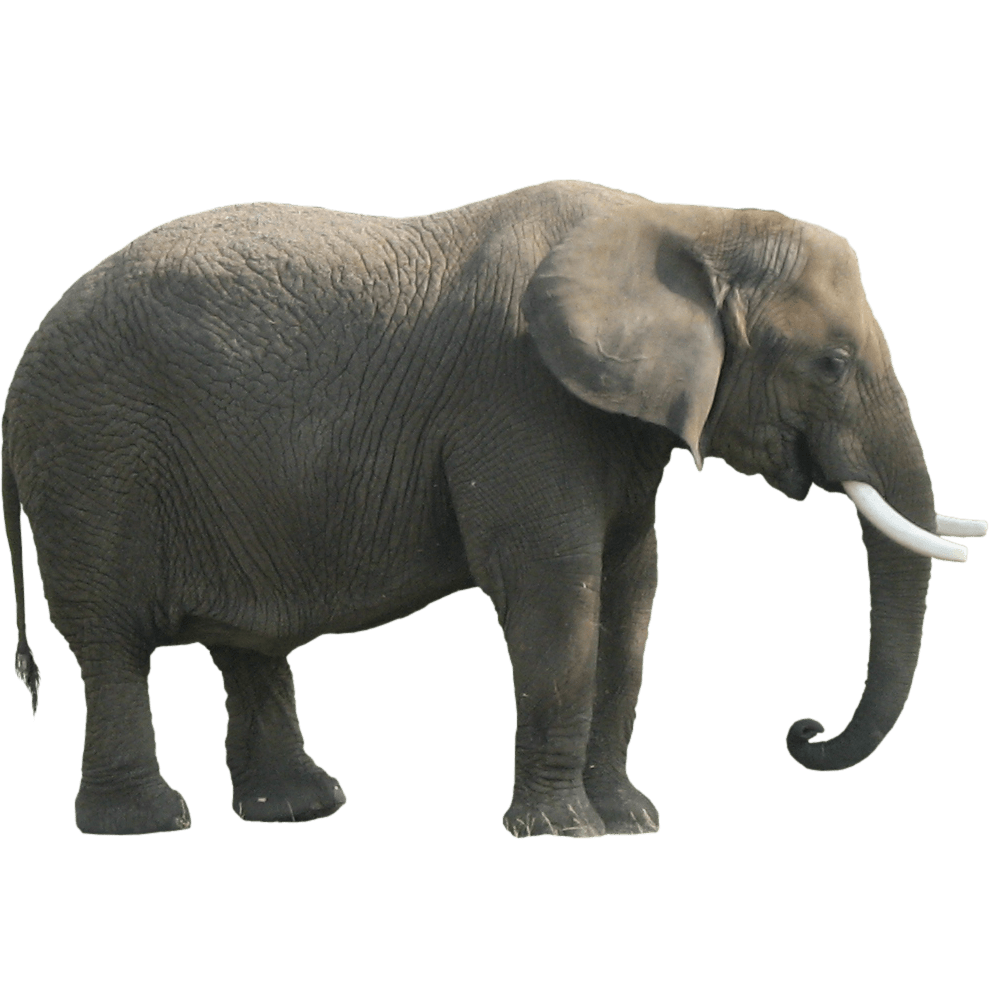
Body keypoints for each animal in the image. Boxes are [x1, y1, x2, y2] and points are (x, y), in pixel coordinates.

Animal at [4, 179, 984, 837]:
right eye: (829, 364)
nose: (801, 731)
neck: (687, 223)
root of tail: (14, 388)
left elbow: (631, 594)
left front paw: (630, 822)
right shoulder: (516, 401)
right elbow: (555, 590)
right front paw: (568, 831)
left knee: (244, 643)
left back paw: (299, 806)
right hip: (93, 460)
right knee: (109, 643)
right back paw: (146, 821)